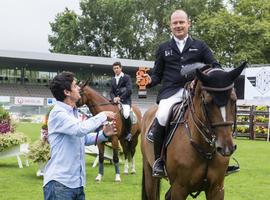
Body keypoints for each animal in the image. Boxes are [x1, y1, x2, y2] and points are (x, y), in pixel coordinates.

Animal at [141, 61, 247, 199]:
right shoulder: (179, 188)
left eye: (234, 100)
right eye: (207, 102)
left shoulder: (217, 189)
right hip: (149, 173)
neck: (205, 150)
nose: (226, 148)